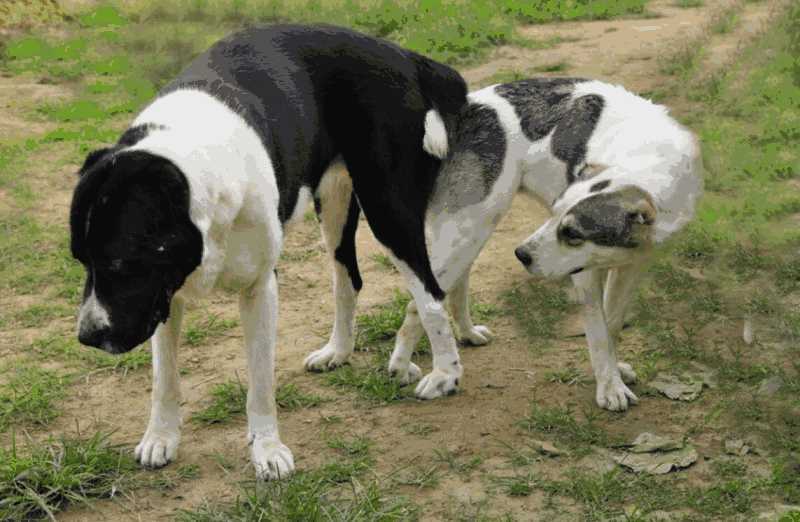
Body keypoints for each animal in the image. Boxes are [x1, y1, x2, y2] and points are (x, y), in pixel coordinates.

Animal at [70, 25, 468, 480]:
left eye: (121, 264)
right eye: (82, 261)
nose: (86, 336)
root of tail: (404, 55)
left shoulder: (259, 288)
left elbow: (260, 382)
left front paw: (267, 449)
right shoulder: (164, 296)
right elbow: (164, 378)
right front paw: (161, 437)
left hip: (389, 211)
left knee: (431, 293)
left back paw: (446, 373)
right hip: (334, 204)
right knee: (347, 279)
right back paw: (338, 351)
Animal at [306, 78, 700, 410]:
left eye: (572, 233)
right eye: (555, 214)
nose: (521, 255)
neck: (647, 159)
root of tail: (460, 113)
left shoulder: (632, 264)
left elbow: (613, 323)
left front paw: (615, 372)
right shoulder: (585, 273)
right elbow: (600, 333)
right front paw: (610, 387)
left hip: (472, 230)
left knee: (452, 288)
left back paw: (465, 333)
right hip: (467, 227)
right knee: (419, 303)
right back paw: (415, 369)